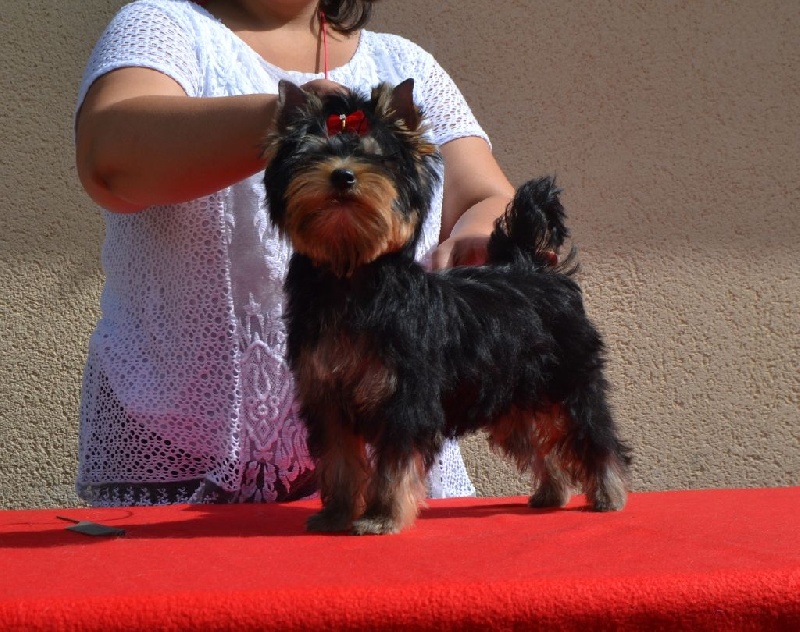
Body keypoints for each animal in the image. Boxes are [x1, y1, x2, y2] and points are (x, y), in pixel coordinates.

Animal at [263, 79, 632, 535]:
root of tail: (533, 267)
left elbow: (393, 464)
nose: (343, 175)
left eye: (378, 157)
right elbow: (340, 460)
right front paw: (336, 515)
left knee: (592, 431)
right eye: (315, 154)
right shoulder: (329, 396)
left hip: (567, 379)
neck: (349, 273)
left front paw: (381, 517)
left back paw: (608, 494)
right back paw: (552, 492)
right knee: (537, 440)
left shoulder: (405, 396)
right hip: (515, 396)